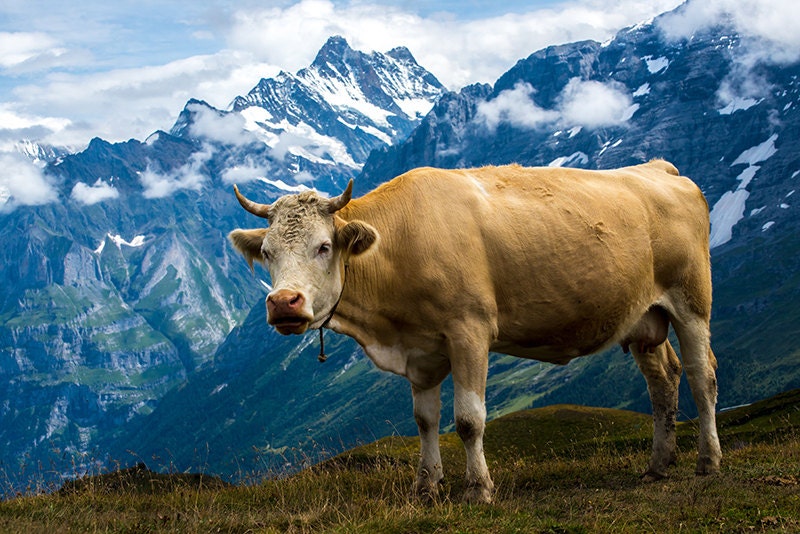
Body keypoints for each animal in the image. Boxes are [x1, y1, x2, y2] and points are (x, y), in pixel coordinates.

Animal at [228, 161, 720, 504]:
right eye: (267, 252)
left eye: (324, 246)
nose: (283, 303)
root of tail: (658, 169)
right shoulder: (421, 352)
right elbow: (425, 420)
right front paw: (426, 487)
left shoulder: (470, 331)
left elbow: (468, 419)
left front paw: (478, 489)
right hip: (644, 318)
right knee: (663, 381)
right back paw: (658, 465)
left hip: (691, 300)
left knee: (702, 375)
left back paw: (708, 460)